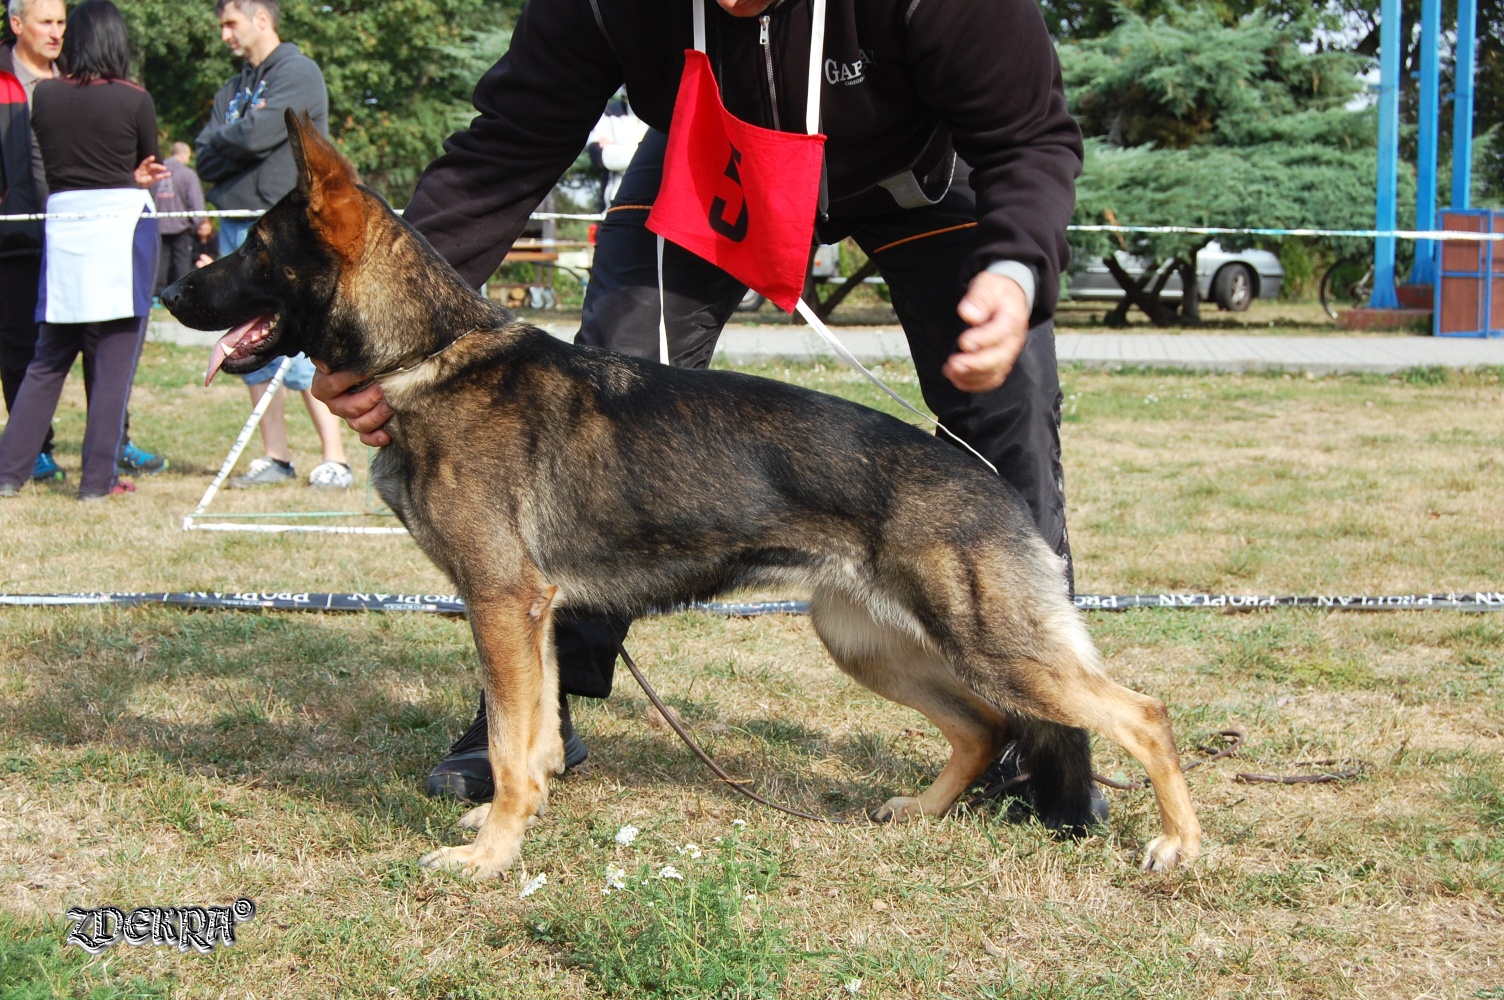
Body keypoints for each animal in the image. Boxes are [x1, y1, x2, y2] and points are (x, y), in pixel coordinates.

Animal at [161, 115, 1197, 872]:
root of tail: (986, 479)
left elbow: (508, 742)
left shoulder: (501, 601)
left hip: (992, 648)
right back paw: (921, 812)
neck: (430, 356)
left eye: (253, 249)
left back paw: (1179, 844)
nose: (170, 292)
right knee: (983, 729)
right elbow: (529, 736)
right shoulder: (532, 614)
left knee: (1140, 713)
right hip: (867, 642)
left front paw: (492, 857)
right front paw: (516, 820)